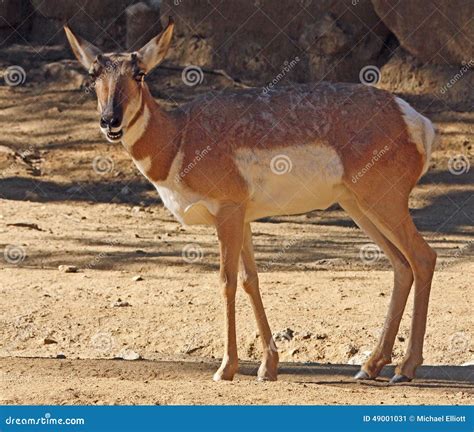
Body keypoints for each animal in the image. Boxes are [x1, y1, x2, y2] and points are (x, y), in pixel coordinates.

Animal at [64, 18, 436, 384]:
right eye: (93, 75)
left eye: (139, 73)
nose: (110, 121)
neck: (180, 136)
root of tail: (412, 117)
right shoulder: (242, 218)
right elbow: (250, 281)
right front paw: (267, 367)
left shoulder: (227, 212)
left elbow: (226, 282)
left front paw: (226, 368)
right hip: (358, 207)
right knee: (401, 266)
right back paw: (371, 366)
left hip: (382, 203)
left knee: (423, 257)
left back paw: (405, 369)